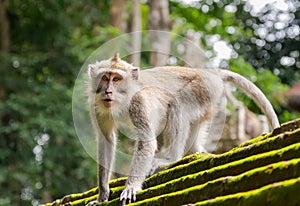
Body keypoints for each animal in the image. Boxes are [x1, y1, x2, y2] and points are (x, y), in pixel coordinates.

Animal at [85, 54, 278, 205]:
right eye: (105, 78)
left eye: (117, 79)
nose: (108, 92)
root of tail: (210, 73)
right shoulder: (96, 107)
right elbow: (106, 140)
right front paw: (102, 195)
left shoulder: (138, 102)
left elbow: (147, 142)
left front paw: (131, 187)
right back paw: (193, 151)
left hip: (203, 90)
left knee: (178, 104)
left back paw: (171, 158)